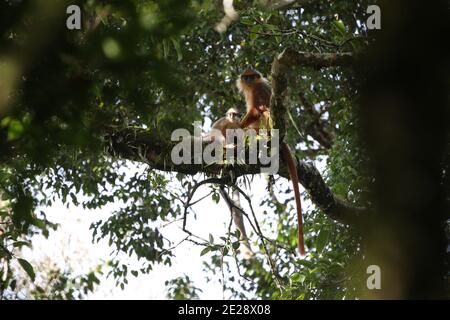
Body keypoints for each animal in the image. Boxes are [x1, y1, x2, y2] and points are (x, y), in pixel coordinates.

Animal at [236, 67, 306, 255]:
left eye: (252, 77)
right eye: (246, 77)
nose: (248, 80)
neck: (253, 86)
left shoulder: (257, 91)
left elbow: (257, 110)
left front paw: (238, 125)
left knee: (264, 112)